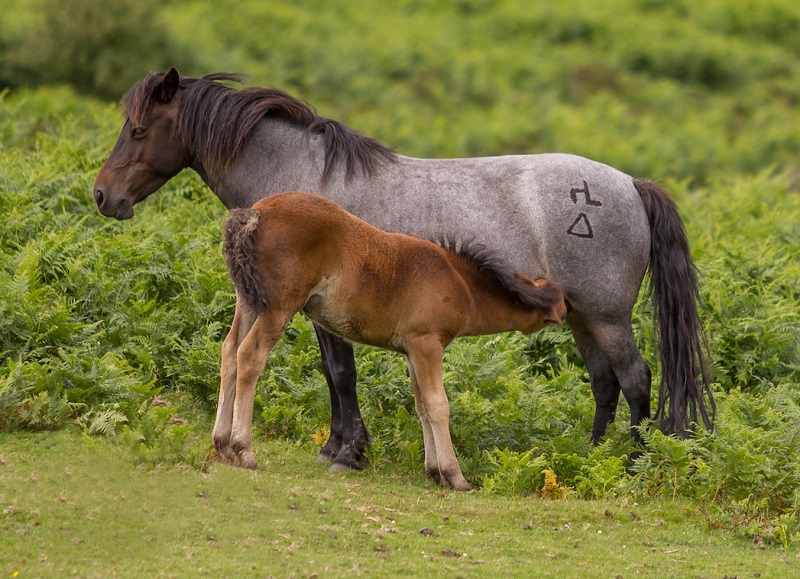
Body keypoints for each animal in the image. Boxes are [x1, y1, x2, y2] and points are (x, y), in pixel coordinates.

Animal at [92, 68, 712, 468]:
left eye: (140, 129)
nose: (103, 196)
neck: (303, 176)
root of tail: (629, 184)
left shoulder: (320, 309)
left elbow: (340, 373)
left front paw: (347, 451)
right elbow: (334, 374)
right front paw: (338, 445)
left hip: (608, 317)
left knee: (636, 379)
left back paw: (632, 465)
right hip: (582, 317)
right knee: (605, 384)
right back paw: (590, 455)